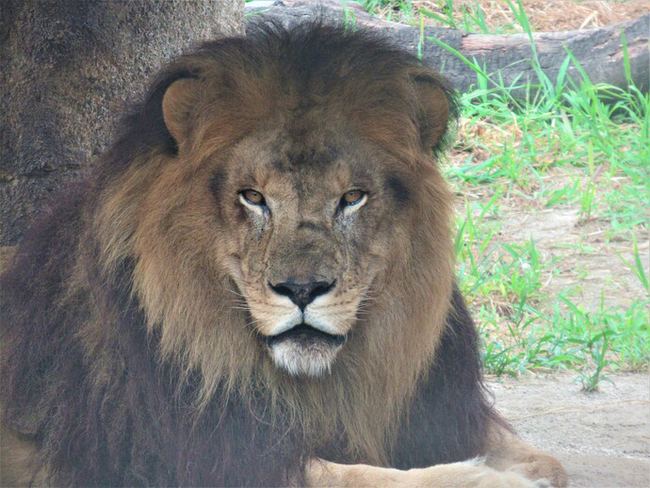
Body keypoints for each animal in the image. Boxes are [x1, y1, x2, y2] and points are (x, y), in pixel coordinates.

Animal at [0, 22, 568, 488]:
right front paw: (495, 480)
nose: (301, 290)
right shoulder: (197, 459)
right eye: (253, 197)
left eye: (352, 197)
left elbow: (546, 460)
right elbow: (363, 477)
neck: (319, 389)